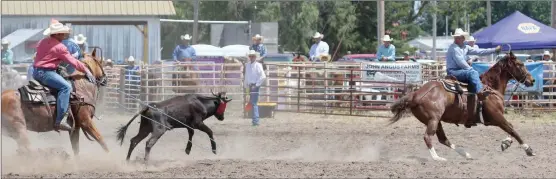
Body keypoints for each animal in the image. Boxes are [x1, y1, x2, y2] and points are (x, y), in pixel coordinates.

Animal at [388, 51, 536, 161]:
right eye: (520, 64)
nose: (532, 80)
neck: (490, 88)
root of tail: (416, 94)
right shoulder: (496, 117)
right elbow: (512, 130)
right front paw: (528, 149)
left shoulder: (494, 120)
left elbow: (511, 128)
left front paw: (506, 143)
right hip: (433, 119)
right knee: (428, 137)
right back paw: (437, 158)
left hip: (435, 121)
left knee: (443, 139)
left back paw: (466, 154)